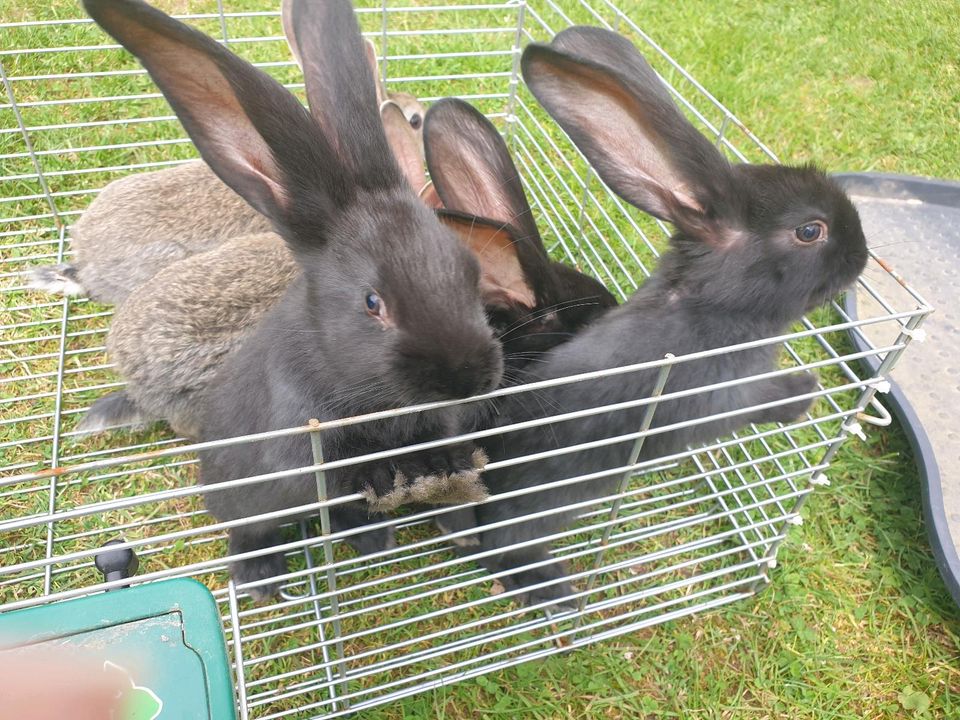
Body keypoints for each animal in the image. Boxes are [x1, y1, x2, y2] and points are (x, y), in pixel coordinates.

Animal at [82, 0, 502, 600]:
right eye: (372, 302)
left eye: (470, 269)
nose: (469, 378)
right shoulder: (301, 445)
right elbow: (339, 475)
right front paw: (384, 480)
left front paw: (445, 472)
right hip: (240, 496)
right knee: (249, 530)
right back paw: (261, 579)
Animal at [442, 28, 872, 612]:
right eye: (811, 231)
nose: (864, 255)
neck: (705, 307)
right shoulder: (717, 396)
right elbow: (755, 403)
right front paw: (804, 393)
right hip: (543, 506)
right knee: (504, 550)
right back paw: (561, 594)